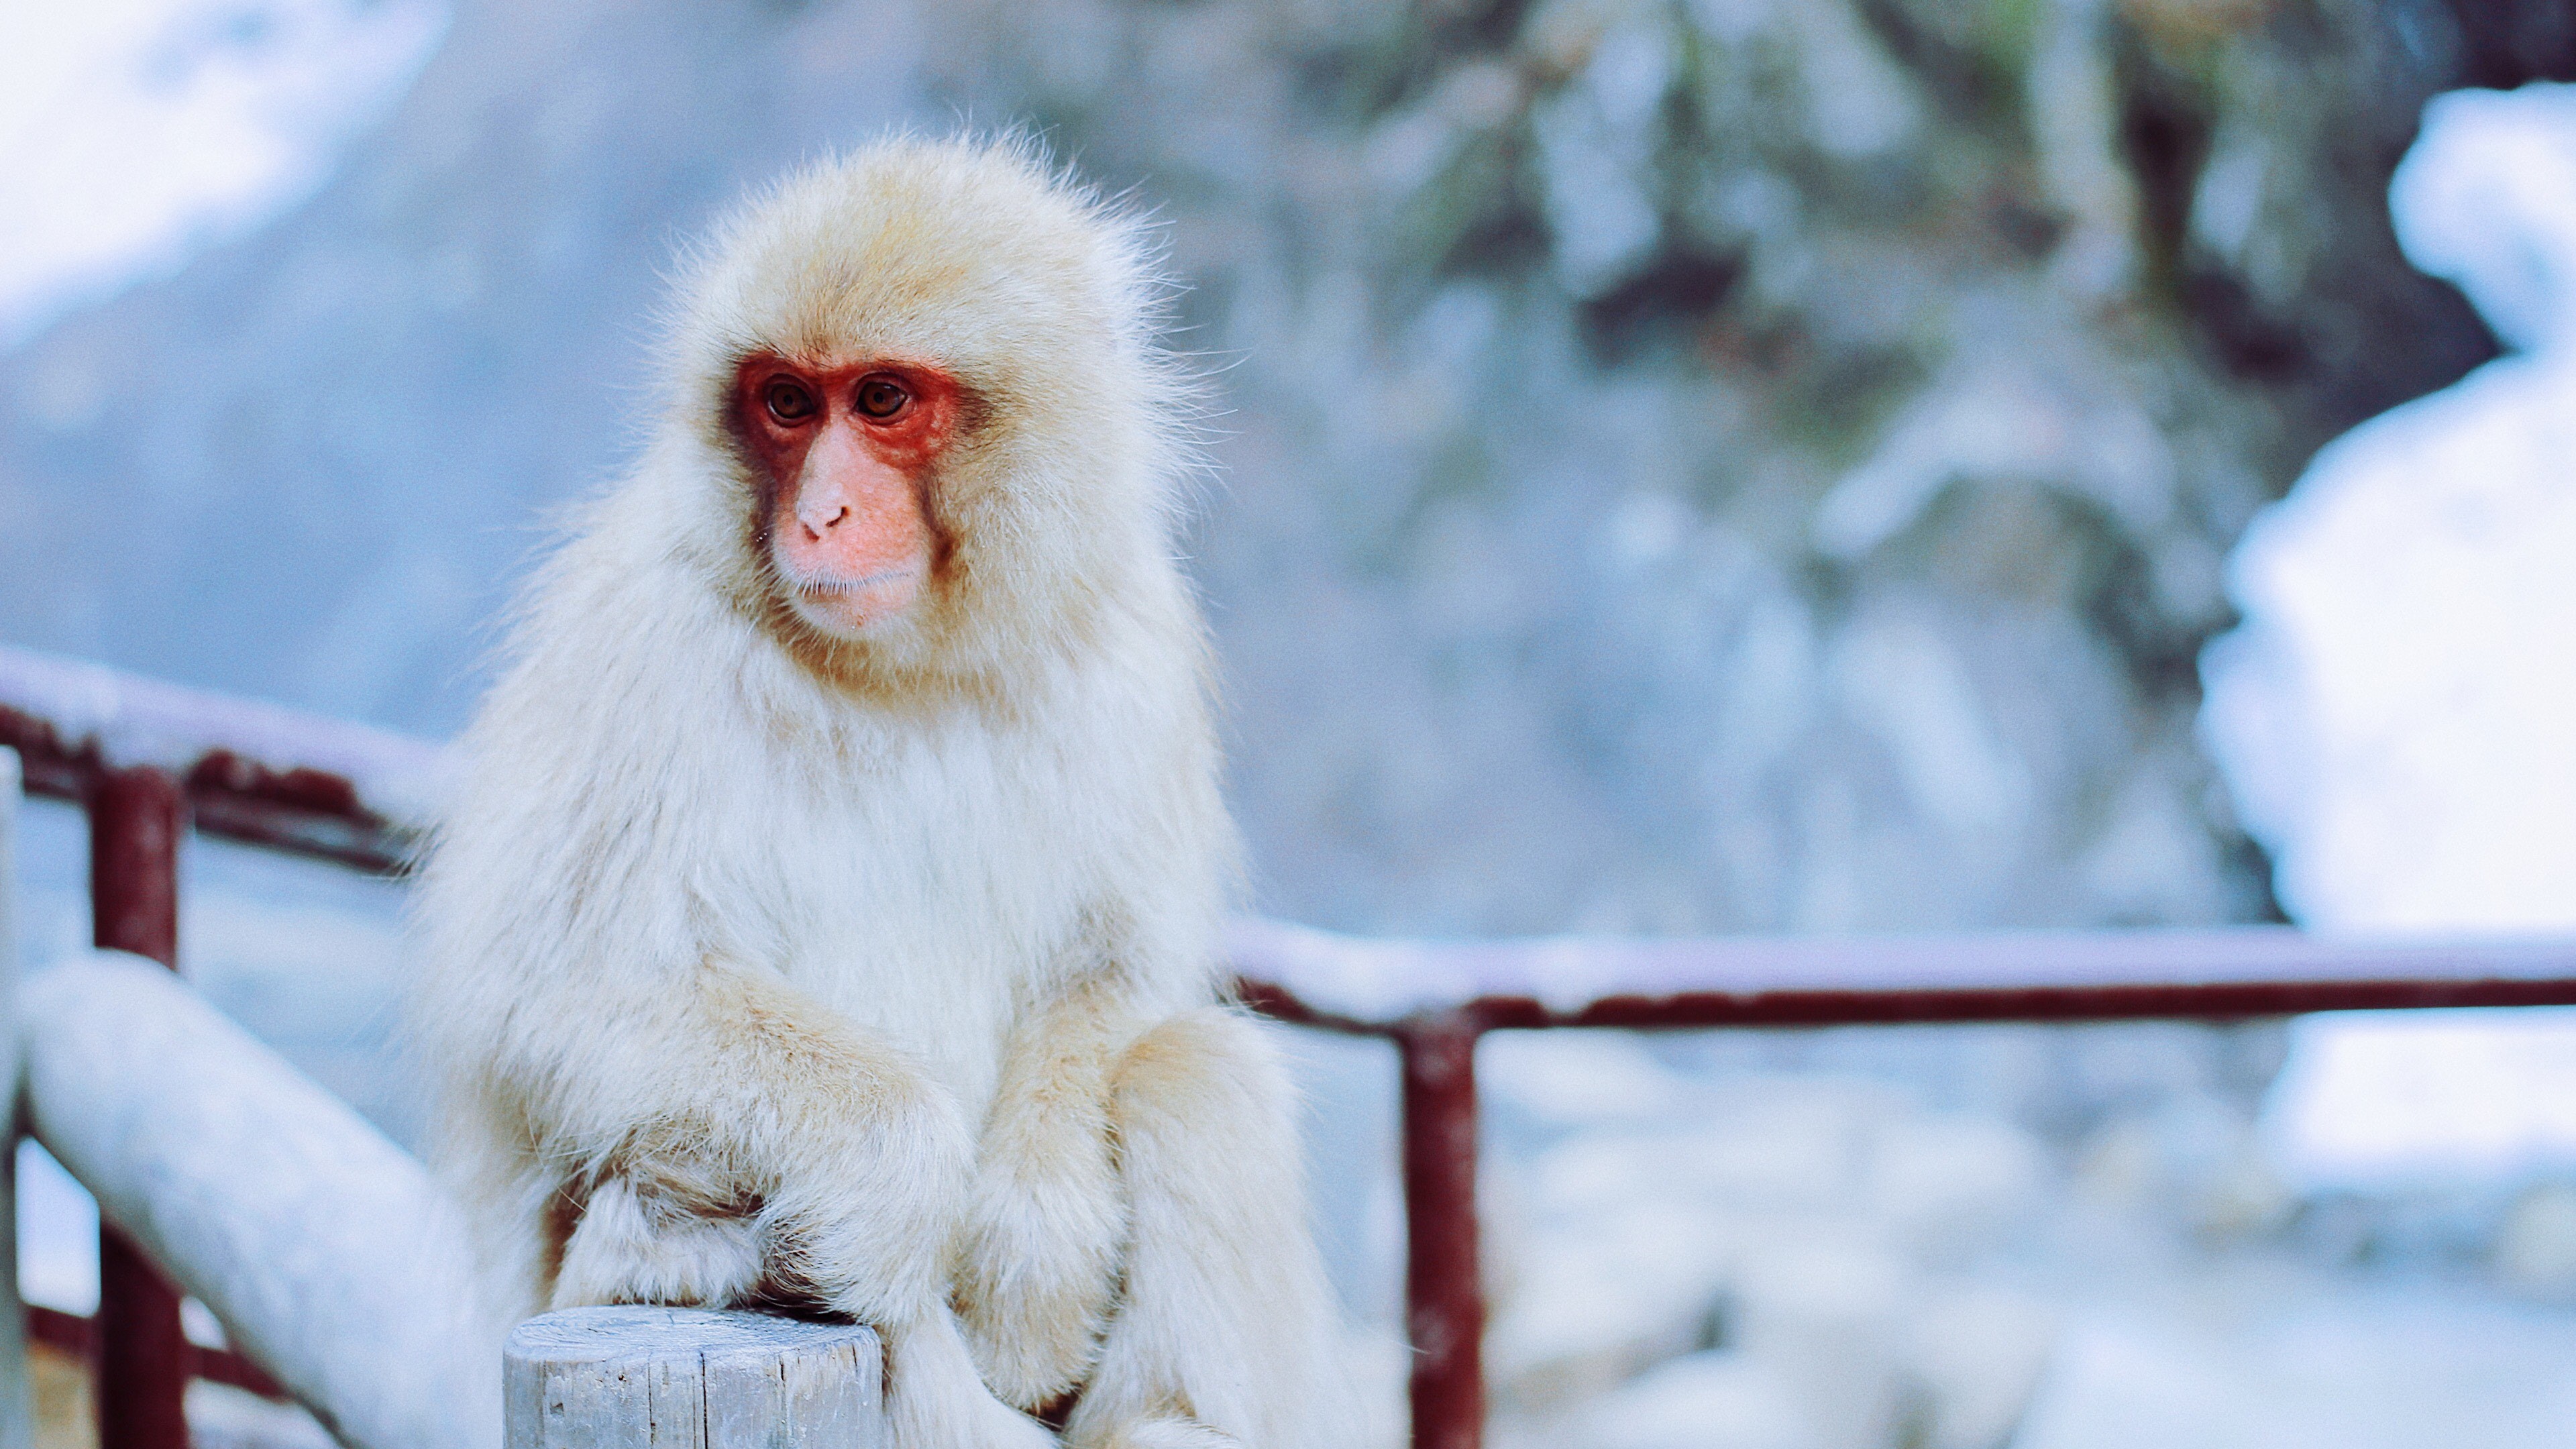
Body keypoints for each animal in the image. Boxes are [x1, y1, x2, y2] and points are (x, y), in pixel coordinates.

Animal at [407, 138, 1350, 1444]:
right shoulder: (641, 642)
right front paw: (898, 1178)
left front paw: (1035, 1249)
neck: (907, 669)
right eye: (788, 404)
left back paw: (1165, 1420)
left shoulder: (1133, 649)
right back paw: (675, 1250)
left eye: (885, 401)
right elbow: (561, 989)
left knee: (1195, 1073)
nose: (822, 512)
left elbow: (1112, 965)